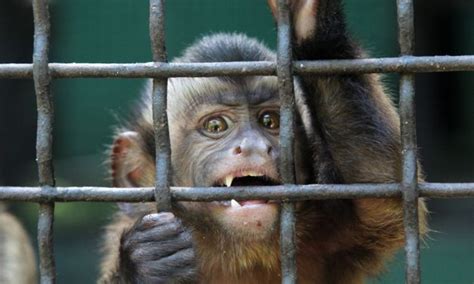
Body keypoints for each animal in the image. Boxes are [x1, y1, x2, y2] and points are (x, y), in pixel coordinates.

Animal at [100, 1, 430, 282]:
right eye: (216, 126)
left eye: (269, 121)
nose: (254, 146)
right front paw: (144, 263)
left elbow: (382, 188)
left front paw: (312, 23)